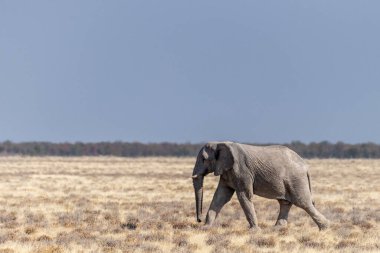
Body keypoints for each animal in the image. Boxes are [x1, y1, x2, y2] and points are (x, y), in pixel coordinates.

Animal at [193, 141, 330, 230]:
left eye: (204, 159)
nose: (199, 220)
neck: (220, 143)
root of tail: (306, 166)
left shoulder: (242, 171)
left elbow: (244, 196)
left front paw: (254, 230)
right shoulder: (227, 172)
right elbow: (221, 196)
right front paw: (206, 228)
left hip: (296, 179)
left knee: (303, 203)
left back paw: (325, 228)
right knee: (286, 203)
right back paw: (276, 229)